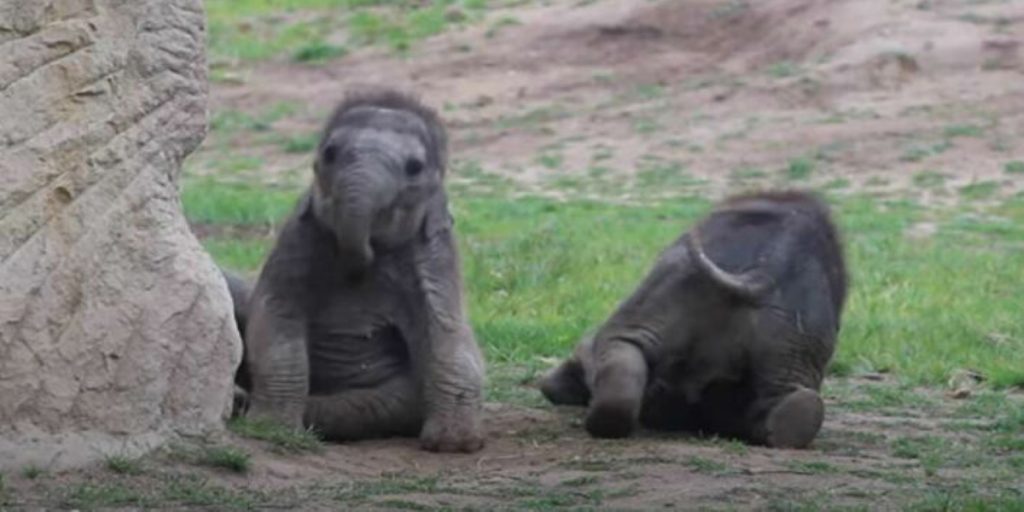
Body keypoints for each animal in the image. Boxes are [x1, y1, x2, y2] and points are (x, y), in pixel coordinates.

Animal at [230, 88, 485, 452]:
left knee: (380, 403)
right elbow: (276, 316)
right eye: (330, 153)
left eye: (415, 167)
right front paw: (272, 429)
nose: (360, 261)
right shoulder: (298, 238)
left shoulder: (435, 259)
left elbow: (447, 329)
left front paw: (453, 444)